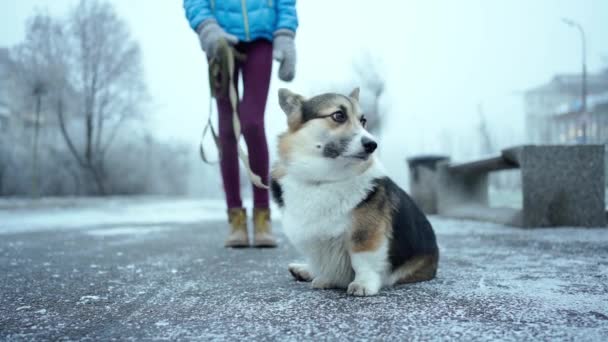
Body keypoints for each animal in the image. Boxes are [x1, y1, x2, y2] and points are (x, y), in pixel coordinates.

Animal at [270, 87, 436, 296]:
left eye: (363, 120)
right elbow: (322, 262)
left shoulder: (365, 234)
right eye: (338, 115)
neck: (326, 179)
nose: (372, 145)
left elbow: (363, 260)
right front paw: (326, 279)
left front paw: (363, 284)